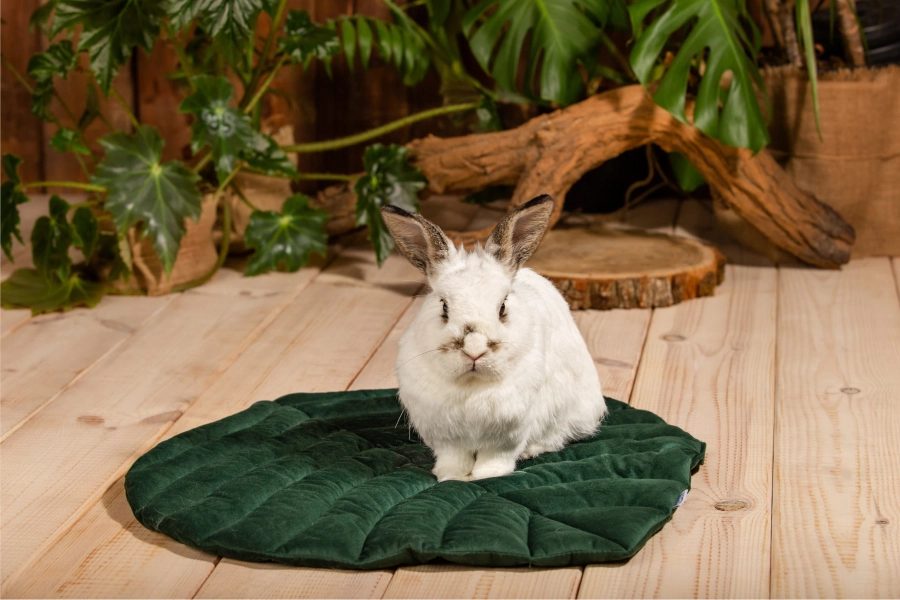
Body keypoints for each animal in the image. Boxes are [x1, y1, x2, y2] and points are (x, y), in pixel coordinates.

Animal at [381, 194, 606, 482]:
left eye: (502, 308)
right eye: (444, 307)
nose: (474, 350)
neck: (472, 384)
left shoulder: (508, 432)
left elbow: (495, 457)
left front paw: (487, 476)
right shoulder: (445, 436)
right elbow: (453, 458)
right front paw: (450, 476)